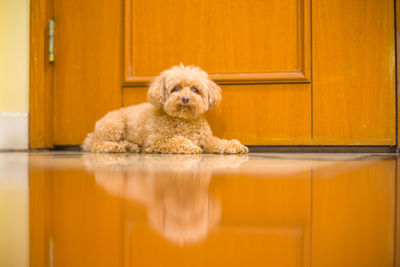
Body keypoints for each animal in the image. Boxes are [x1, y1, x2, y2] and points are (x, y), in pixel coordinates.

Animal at [81, 63, 248, 154]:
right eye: (175, 89)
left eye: (195, 90)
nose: (185, 98)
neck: (184, 121)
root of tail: (92, 134)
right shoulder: (155, 140)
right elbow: (176, 141)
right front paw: (190, 146)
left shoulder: (206, 138)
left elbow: (219, 142)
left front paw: (234, 146)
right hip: (114, 125)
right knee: (98, 145)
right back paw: (119, 147)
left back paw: (128, 146)